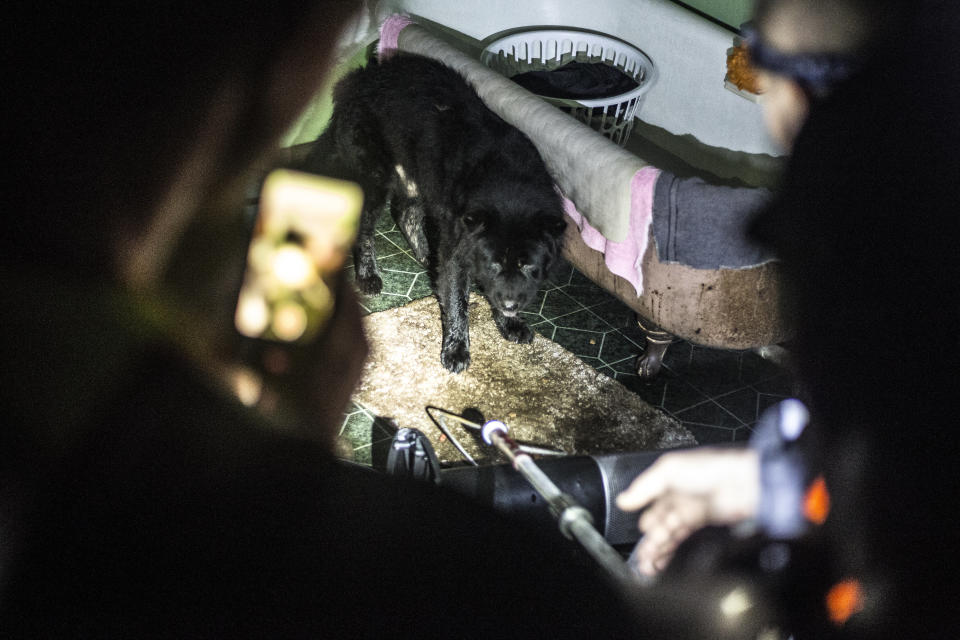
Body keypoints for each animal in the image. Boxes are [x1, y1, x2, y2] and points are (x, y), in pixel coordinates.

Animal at [304, 55, 568, 376]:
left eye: (529, 266)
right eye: (493, 263)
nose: (509, 305)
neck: (509, 181)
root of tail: (361, 77)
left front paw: (510, 323)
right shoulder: (457, 247)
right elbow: (457, 305)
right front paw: (456, 350)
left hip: (416, 179)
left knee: (404, 213)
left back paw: (426, 256)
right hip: (376, 179)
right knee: (365, 225)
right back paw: (368, 276)